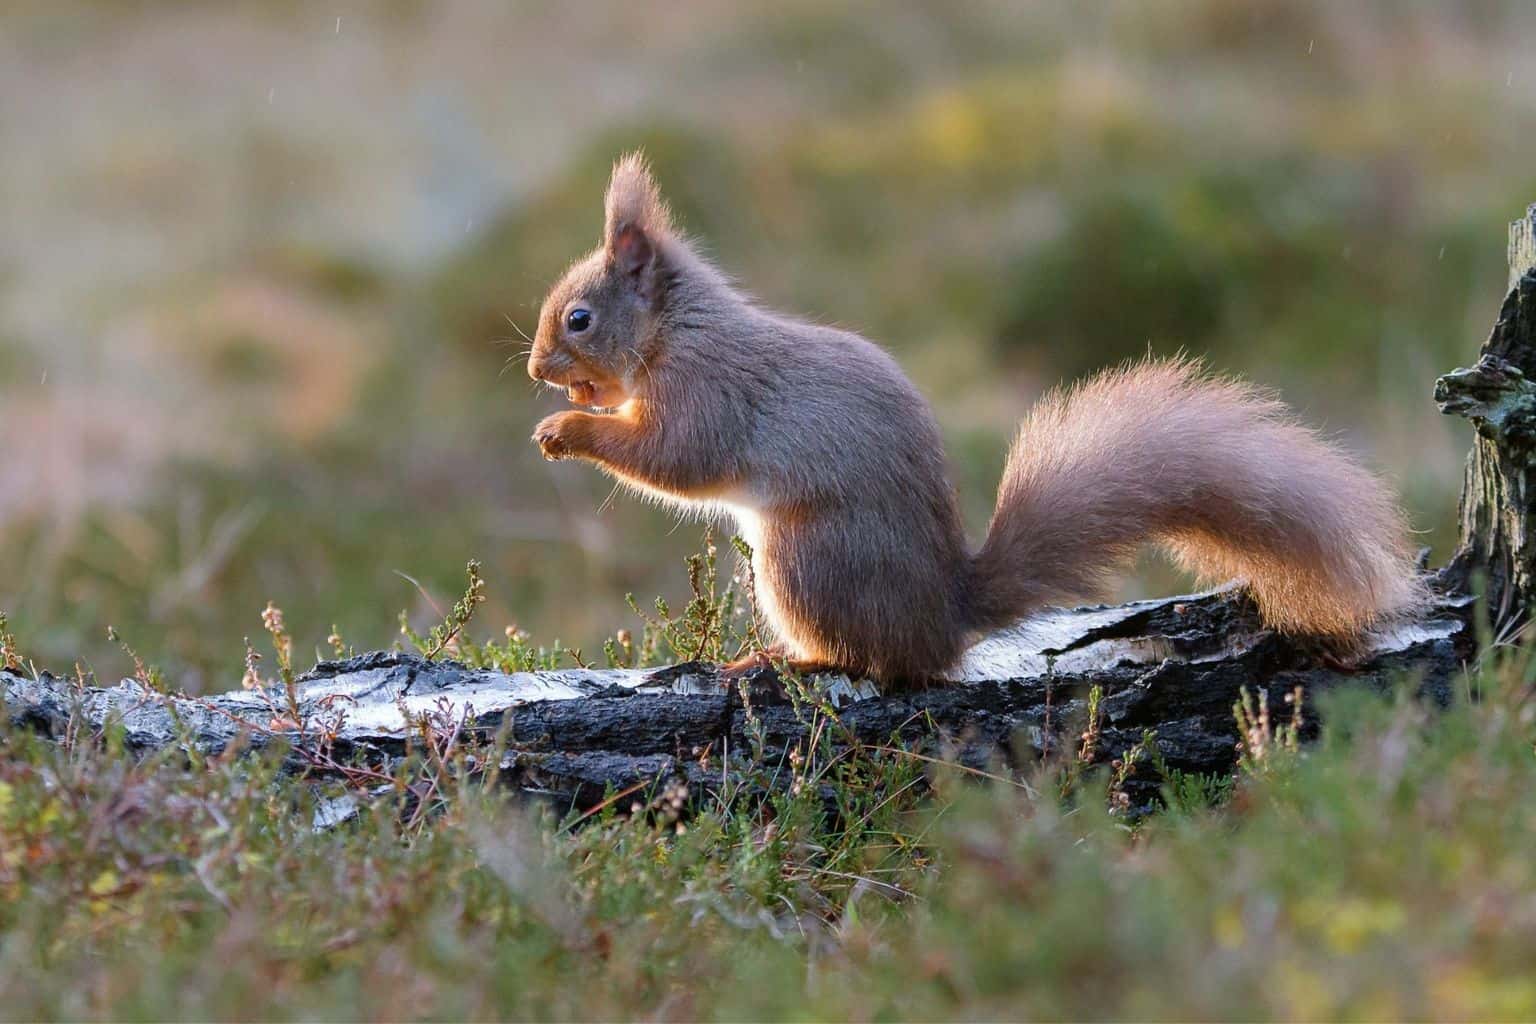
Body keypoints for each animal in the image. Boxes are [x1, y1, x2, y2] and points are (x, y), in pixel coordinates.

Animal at [526, 154, 1423, 682]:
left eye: (578, 318)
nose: (538, 372)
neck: (676, 329)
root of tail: (944, 618)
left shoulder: (708, 390)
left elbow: (677, 459)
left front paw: (570, 430)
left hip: (803, 560)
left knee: (877, 664)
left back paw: (783, 661)